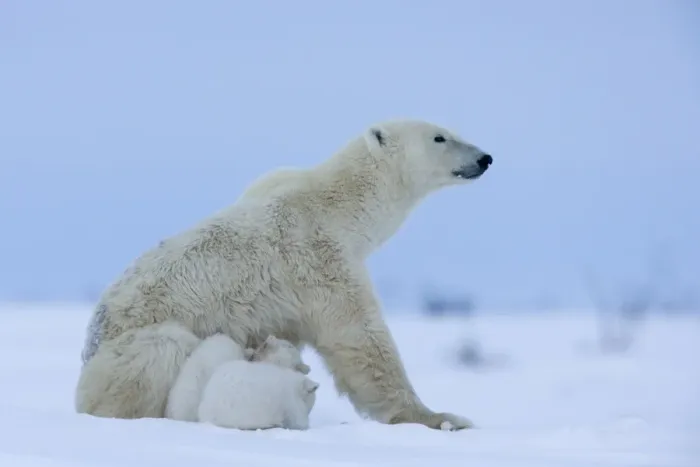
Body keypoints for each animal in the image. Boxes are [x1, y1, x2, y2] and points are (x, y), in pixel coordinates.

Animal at [75, 119, 493, 431]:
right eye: (440, 136)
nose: (485, 158)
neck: (338, 206)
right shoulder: (319, 260)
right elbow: (360, 339)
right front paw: (442, 418)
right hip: (125, 348)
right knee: (161, 349)